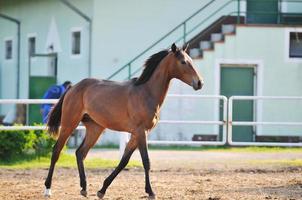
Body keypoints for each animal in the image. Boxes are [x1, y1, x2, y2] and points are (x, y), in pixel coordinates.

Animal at [43, 43, 204, 198]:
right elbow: (146, 161)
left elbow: (124, 161)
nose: (200, 83)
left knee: (80, 153)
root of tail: (73, 87)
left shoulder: (137, 134)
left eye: (191, 60)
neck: (145, 92)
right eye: (183, 62)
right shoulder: (141, 132)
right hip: (69, 124)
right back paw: (48, 189)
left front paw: (102, 190)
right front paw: (151, 192)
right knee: (56, 151)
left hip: (95, 128)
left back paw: (84, 188)